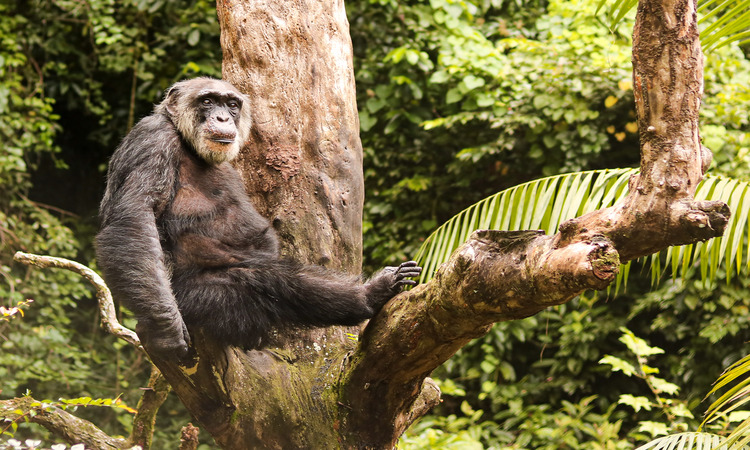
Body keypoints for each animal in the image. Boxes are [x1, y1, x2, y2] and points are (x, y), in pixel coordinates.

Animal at [95, 78, 424, 358]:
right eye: (207, 101)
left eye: (231, 104)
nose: (223, 118)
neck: (188, 144)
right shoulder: (151, 140)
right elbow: (137, 216)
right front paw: (165, 327)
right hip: (192, 299)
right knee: (261, 280)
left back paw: (372, 292)